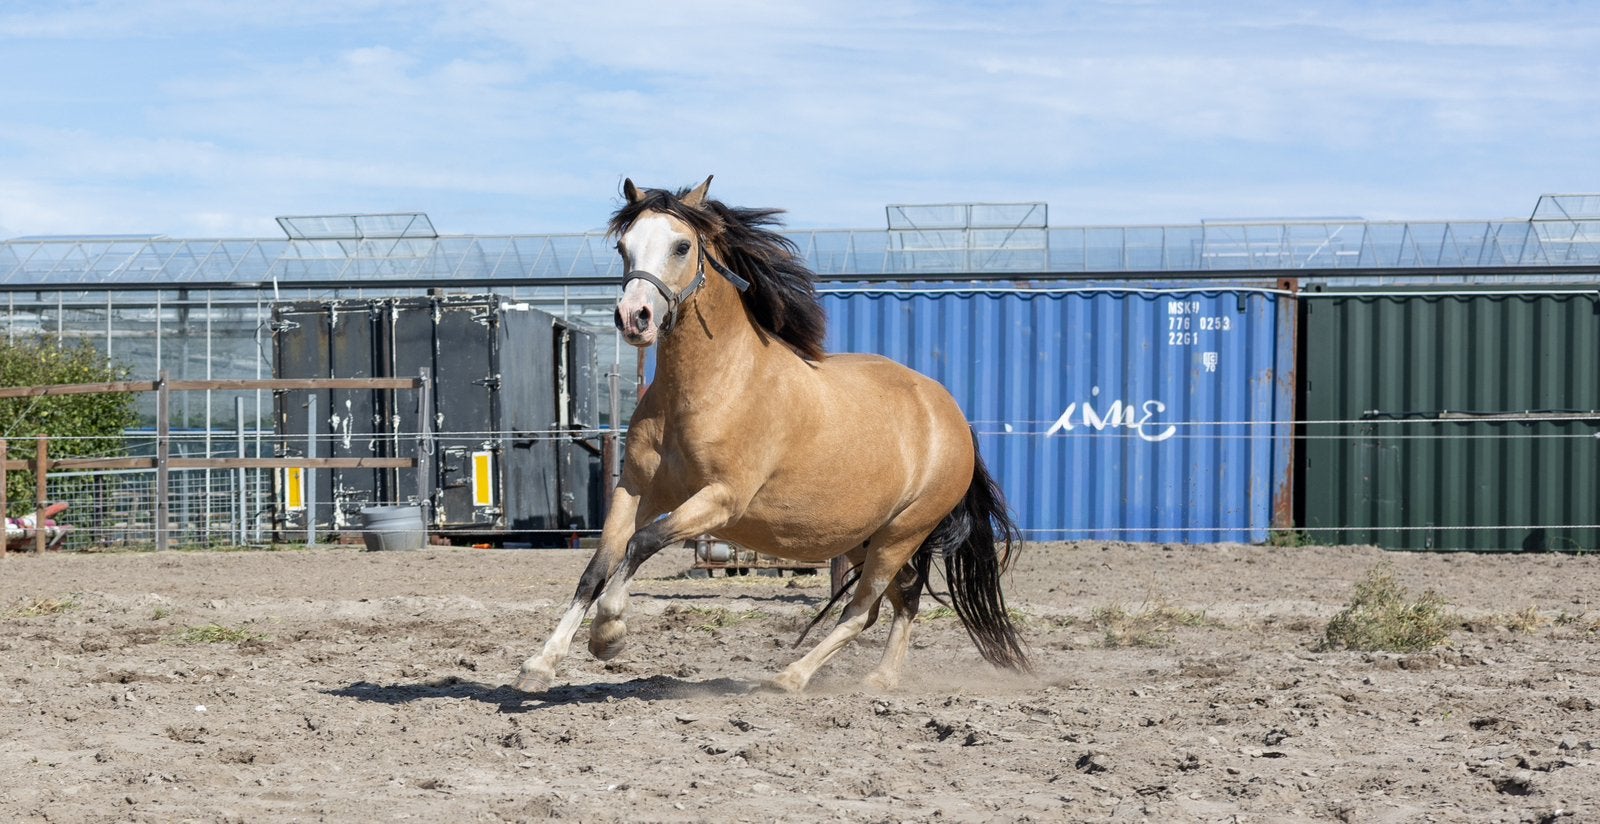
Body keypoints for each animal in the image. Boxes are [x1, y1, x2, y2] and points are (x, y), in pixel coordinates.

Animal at [514, 176, 1028, 694]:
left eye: (681, 246)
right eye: (624, 247)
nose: (632, 317)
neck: (713, 387)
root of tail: (952, 416)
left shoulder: (722, 499)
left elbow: (643, 543)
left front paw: (609, 632)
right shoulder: (635, 490)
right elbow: (595, 570)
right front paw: (540, 664)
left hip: (902, 534)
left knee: (861, 610)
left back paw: (790, 677)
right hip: (866, 535)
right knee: (900, 602)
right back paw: (880, 679)